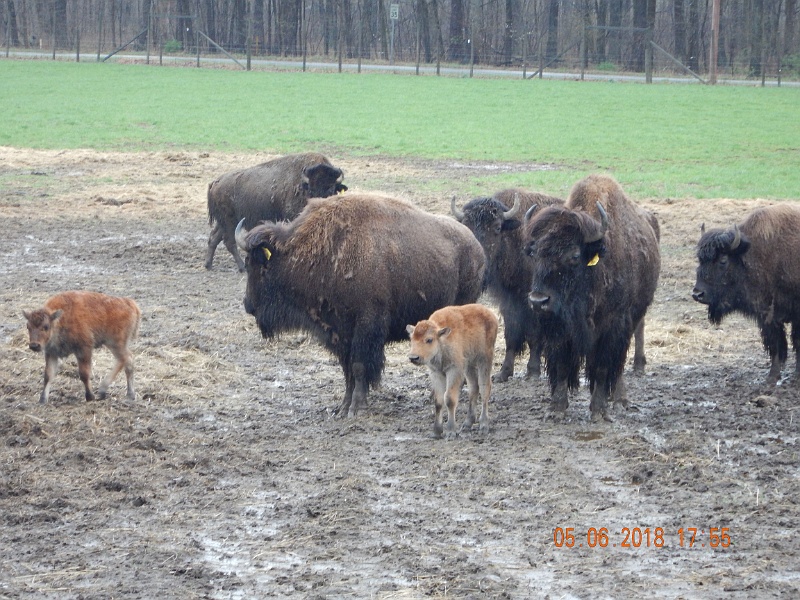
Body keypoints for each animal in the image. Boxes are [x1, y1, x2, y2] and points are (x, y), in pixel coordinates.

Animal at [205, 152, 346, 271]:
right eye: (311, 189)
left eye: (331, 189)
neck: (303, 186)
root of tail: (215, 182)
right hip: (229, 222)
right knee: (229, 242)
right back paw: (241, 267)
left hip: (224, 222)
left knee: (214, 238)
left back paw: (208, 265)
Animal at [236, 193, 486, 417]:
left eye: (252, 263)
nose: (248, 305)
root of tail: (475, 245)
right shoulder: (341, 333)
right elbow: (348, 370)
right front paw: (343, 408)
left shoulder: (366, 327)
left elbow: (358, 366)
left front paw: (357, 408)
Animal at [451, 188, 563, 381]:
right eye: (467, 226)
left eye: (497, 227)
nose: (480, 262)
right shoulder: (508, 300)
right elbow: (511, 334)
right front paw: (503, 373)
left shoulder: (534, 301)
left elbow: (534, 334)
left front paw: (533, 371)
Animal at [524, 175, 661, 421]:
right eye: (533, 252)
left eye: (574, 255)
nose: (539, 301)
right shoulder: (560, 329)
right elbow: (562, 365)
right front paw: (557, 408)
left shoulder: (612, 326)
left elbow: (603, 367)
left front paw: (598, 410)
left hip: (634, 318)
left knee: (617, 366)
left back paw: (619, 400)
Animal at [692, 204, 800, 384]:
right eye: (700, 260)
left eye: (723, 260)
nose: (697, 294)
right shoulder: (766, 315)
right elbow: (775, 344)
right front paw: (772, 377)